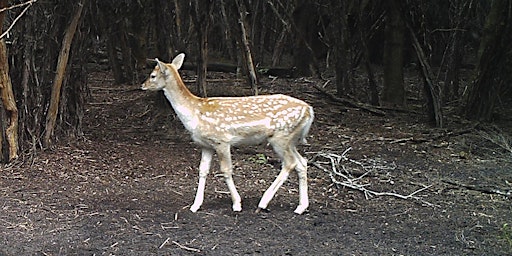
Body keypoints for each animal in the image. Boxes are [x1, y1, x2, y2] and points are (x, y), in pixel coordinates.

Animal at [142, 53, 314, 214]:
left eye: (153, 75)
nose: (143, 85)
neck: (195, 113)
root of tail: (309, 110)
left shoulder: (222, 140)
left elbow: (226, 170)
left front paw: (237, 204)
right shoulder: (205, 145)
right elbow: (202, 170)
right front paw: (195, 205)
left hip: (280, 136)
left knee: (290, 163)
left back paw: (263, 203)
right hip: (290, 139)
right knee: (302, 162)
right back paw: (301, 207)